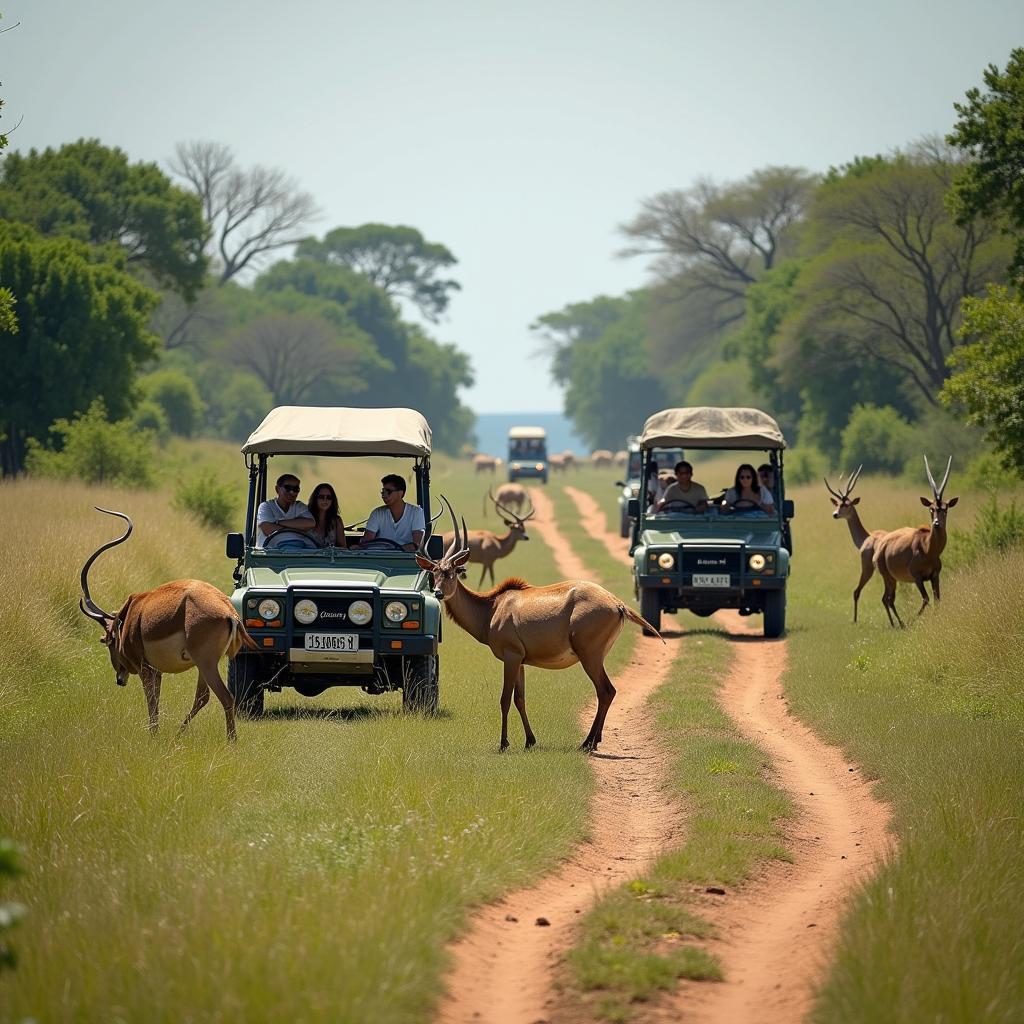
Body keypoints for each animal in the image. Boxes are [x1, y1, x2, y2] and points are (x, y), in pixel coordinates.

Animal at [78, 507, 256, 741]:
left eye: (108, 641)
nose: (119, 679)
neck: (130, 615)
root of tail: (229, 612)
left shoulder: (145, 667)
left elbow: (151, 701)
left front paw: (152, 735)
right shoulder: (157, 671)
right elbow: (157, 699)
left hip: (205, 663)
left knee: (225, 697)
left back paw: (230, 742)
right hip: (204, 664)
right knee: (203, 697)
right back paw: (178, 735)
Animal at [419, 497, 659, 749]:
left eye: (451, 572)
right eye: (433, 573)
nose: (437, 592)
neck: (493, 607)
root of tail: (617, 604)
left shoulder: (511, 656)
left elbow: (505, 699)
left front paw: (504, 743)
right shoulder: (521, 661)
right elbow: (520, 699)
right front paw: (529, 741)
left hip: (589, 655)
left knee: (606, 691)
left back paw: (588, 742)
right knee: (606, 692)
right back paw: (592, 740)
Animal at [823, 466, 888, 622]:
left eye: (847, 504)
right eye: (837, 504)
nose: (835, 514)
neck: (866, 538)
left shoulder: (867, 565)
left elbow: (856, 592)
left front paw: (854, 620)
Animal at [872, 454, 958, 626]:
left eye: (945, 509)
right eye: (931, 508)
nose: (936, 523)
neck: (929, 549)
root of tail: (881, 548)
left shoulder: (935, 575)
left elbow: (937, 599)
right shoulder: (917, 577)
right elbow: (926, 599)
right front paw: (914, 620)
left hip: (892, 579)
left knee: (888, 599)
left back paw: (898, 624)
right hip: (888, 577)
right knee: (887, 599)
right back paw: (899, 624)